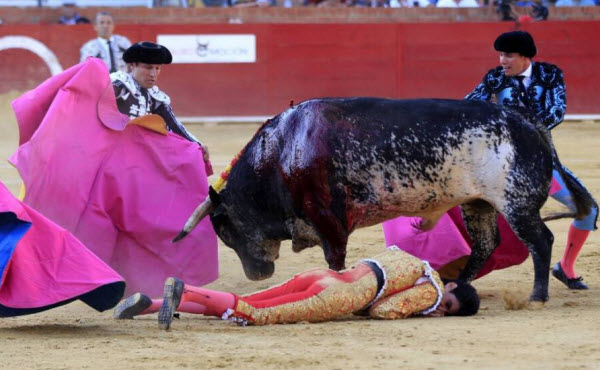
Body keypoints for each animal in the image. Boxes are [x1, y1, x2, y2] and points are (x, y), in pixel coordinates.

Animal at [175, 98, 596, 304]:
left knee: (541, 241)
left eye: (224, 228)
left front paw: (340, 283)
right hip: (479, 203)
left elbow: (335, 258)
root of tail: (530, 122)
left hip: (516, 203)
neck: (284, 150)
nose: (256, 276)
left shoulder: (328, 217)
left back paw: (538, 294)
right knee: (485, 245)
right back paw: (457, 283)